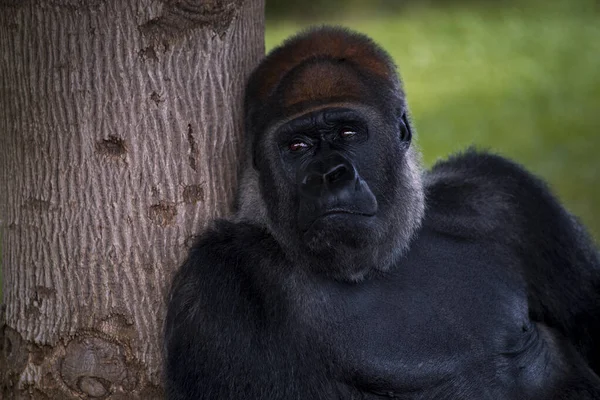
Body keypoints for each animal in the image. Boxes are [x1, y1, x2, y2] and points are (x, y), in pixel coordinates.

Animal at [163, 26, 600, 398]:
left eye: (349, 132)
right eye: (296, 146)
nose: (329, 175)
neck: (387, 256)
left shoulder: (500, 194)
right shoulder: (219, 280)